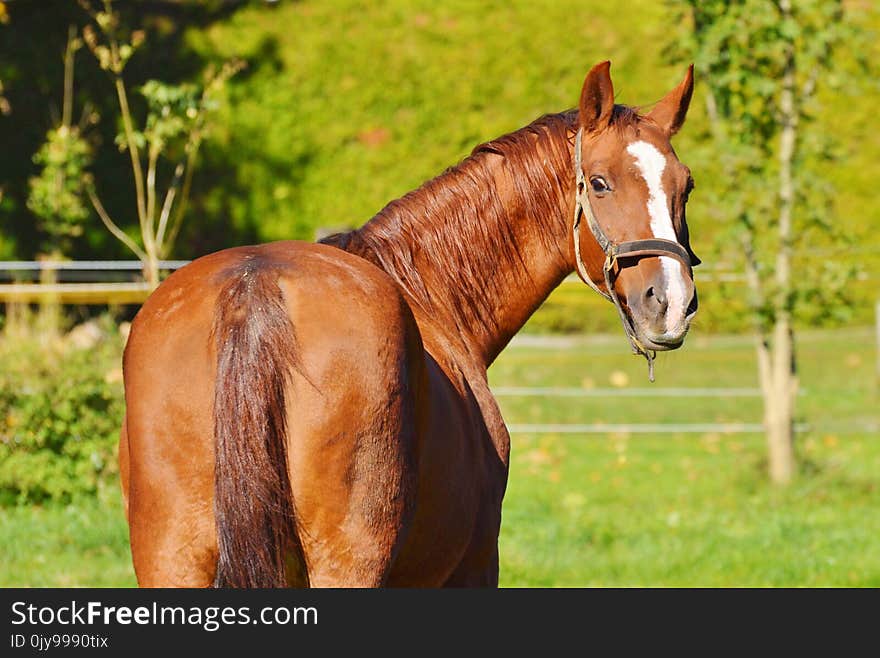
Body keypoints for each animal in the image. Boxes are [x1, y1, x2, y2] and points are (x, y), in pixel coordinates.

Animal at [120, 61, 700, 584]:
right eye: (599, 183)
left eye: (686, 186)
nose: (670, 302)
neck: (429, 296)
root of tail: (253, 287)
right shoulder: (473, 565)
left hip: (171, 561)